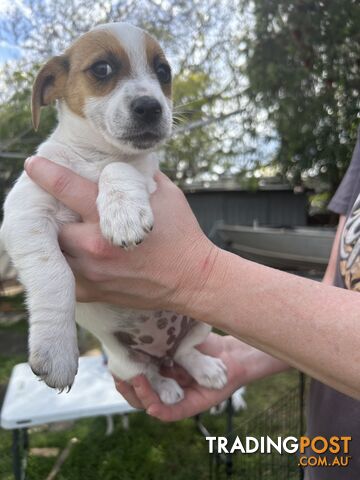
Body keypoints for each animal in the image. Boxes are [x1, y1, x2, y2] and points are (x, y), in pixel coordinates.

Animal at [0, 22, 228, 404]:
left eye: (163, 72)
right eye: (102, 68)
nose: (151, 107)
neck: (95, 155)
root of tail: (161, 351)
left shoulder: (146, 175)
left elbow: (119, 168)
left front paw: (123, 212)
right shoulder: (25, 213)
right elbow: (55, 275)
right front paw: (57, 351)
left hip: (199, 323)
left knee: (184, 352)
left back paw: (205, 369)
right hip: (124, 364)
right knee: (149, 371)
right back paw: (166, 387)